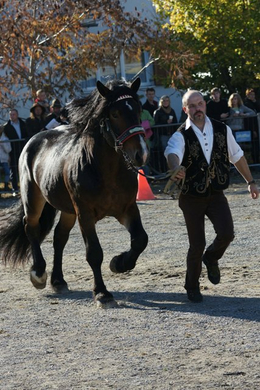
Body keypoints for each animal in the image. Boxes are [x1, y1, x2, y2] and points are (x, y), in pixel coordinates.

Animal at [0, 77, 148, 308]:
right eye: (115, 113)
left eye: (139, 109)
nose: (141, 154)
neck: (105, 170)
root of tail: (35, 138)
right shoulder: (85, 214)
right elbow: (94, 253)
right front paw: (102, 293)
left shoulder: (128, 209)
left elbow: (140, 239)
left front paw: (119, 263)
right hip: (33, 199)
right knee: (30, 227)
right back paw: (39, 273)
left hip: (68, 210)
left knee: (59, 237)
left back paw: (58, 281)